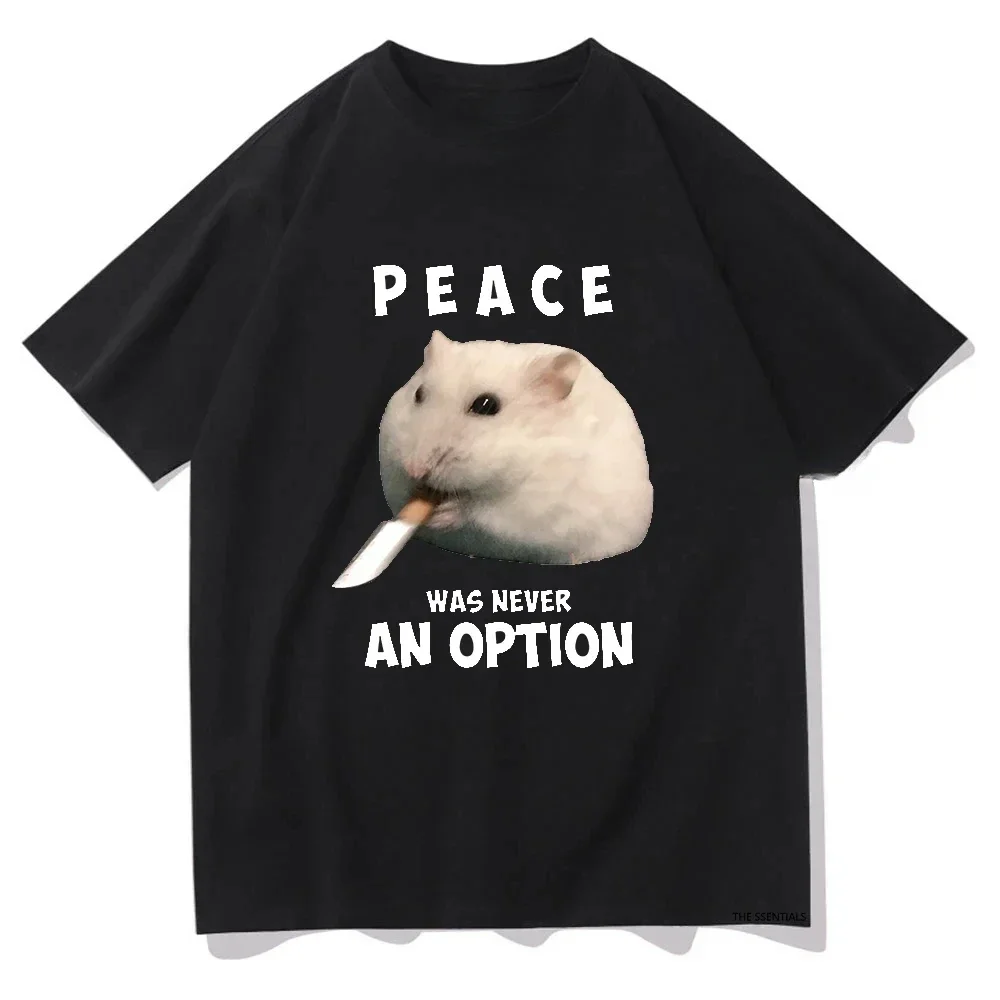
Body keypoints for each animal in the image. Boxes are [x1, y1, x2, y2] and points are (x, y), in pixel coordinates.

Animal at [378, 330, 654, 565]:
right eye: (418, 393)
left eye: (486, 405)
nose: (414, 469)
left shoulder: (533, 505)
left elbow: (482, 513)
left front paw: (444, 513)